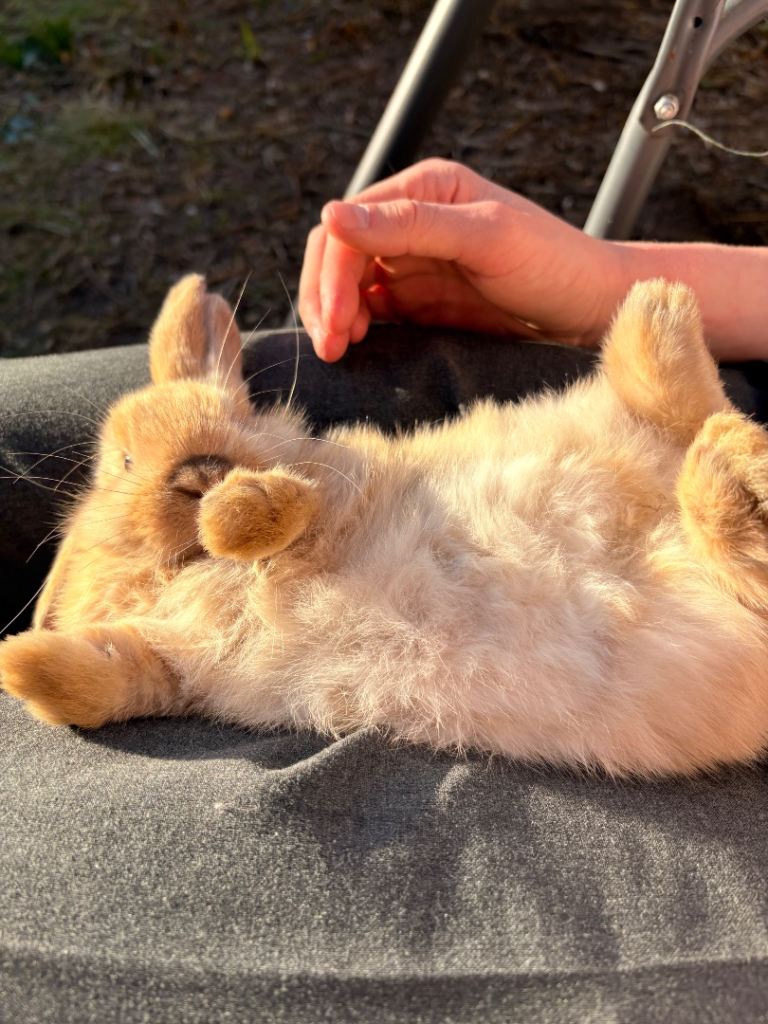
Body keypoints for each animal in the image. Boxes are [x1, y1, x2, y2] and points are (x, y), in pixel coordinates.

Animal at [3, 272, 768, 776]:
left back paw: (661, 316)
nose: (200, 470)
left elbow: (273, 512)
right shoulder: (172, 660)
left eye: (236, 417)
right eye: (126, 459)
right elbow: (98, 681)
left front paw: (229, 510)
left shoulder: (333, 486)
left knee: (697, 414)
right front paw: (20, 660)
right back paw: (718, 448)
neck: (181, 568)